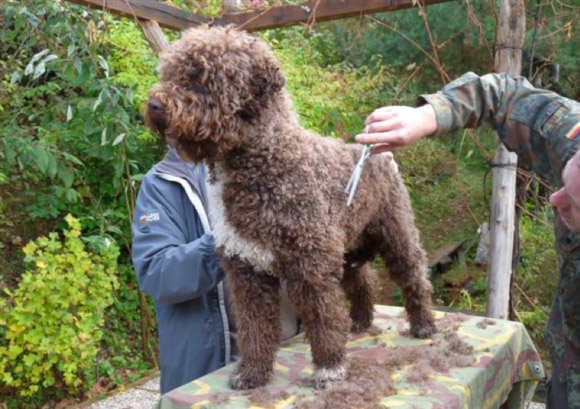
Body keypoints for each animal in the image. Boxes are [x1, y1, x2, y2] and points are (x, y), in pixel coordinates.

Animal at [145, 26, 436, 390]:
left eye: (201, 78)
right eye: (170, 74)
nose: (154, 104)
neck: (268, 158)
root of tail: (377, 153)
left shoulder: (310, 267)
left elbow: (323, 320)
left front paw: (329, 369)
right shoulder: (247, 272)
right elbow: (255, 328)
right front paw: (253, 372)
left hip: (396, 234)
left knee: (414, 277)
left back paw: (423, 324)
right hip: (349, 250)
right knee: (362, 280)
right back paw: (360, 320)